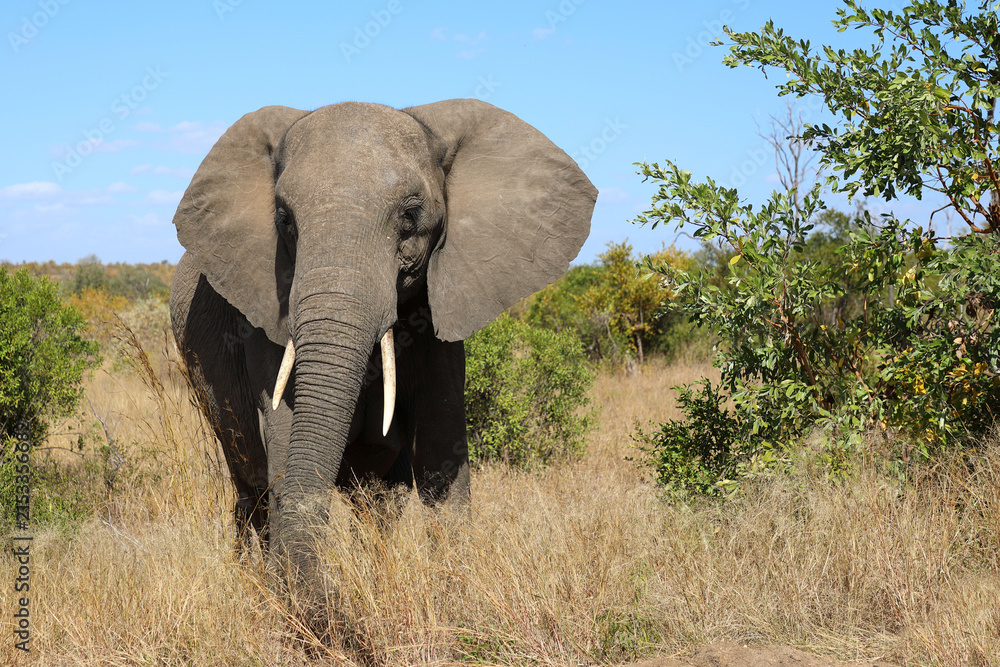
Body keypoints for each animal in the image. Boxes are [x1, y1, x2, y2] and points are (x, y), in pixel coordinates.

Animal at [169, 98, 596, 584]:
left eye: (410, 217)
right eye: (284, 220)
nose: (328, 591)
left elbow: (441, 454)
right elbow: (283, 437)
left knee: (377, 503)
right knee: (250, 486)